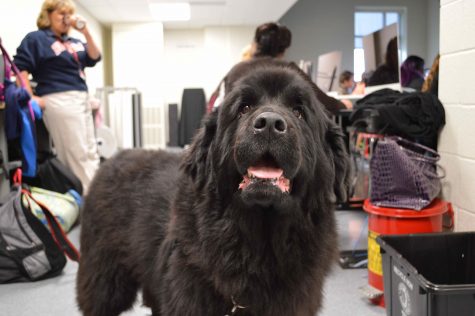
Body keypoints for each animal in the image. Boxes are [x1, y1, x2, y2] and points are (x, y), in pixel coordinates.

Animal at [78, 58, 352, 316]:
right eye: (244, 108)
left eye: (299, 111)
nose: (270, 123)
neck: (260, 241)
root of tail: (111, 159)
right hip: (106, 281)